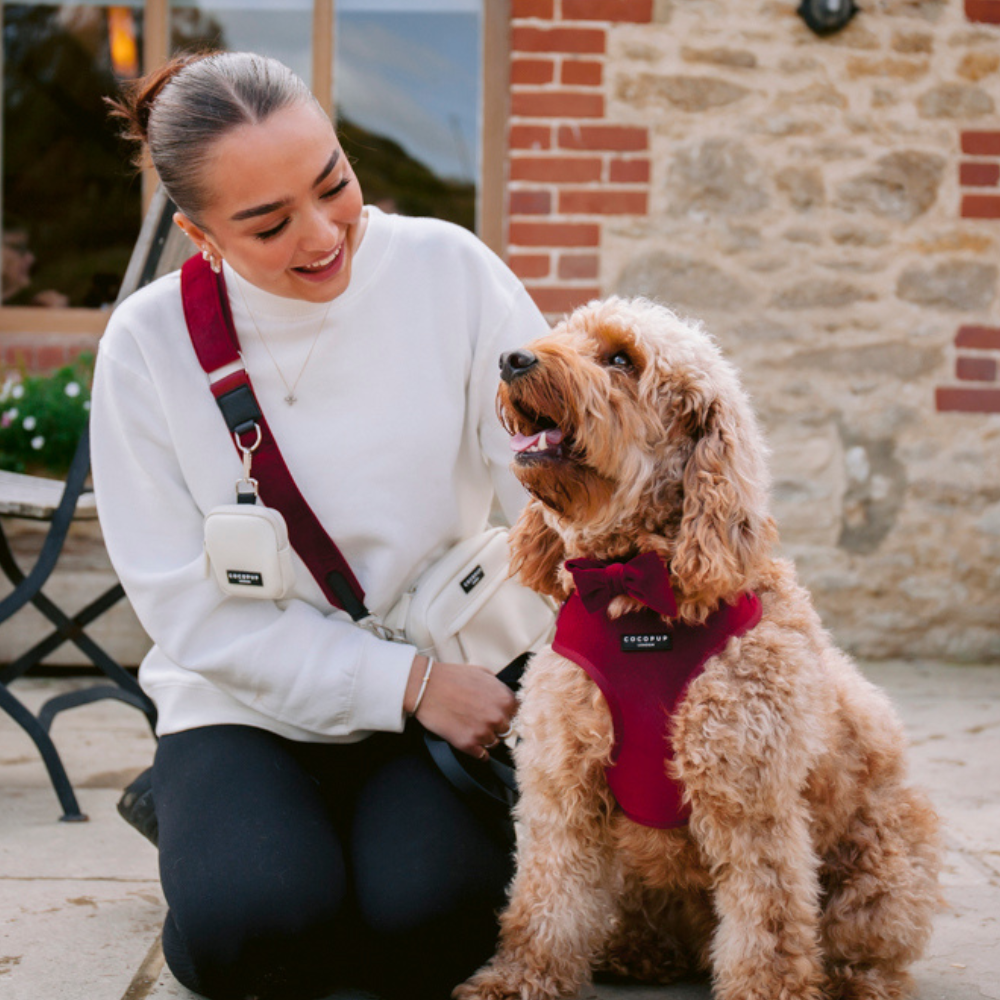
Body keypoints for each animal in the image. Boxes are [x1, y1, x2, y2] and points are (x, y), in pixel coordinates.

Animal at [458, 296, 940, 1000]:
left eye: (621, 358)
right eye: (561, 333)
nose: (512, 358)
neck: (637, 595)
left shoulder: (749, 799)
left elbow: (767, 923)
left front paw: (766, 990)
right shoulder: (563, 785)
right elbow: (546, 899)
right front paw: (522, 977)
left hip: (881, 863)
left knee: (867, 943)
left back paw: (854, 981)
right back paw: (636, 950)